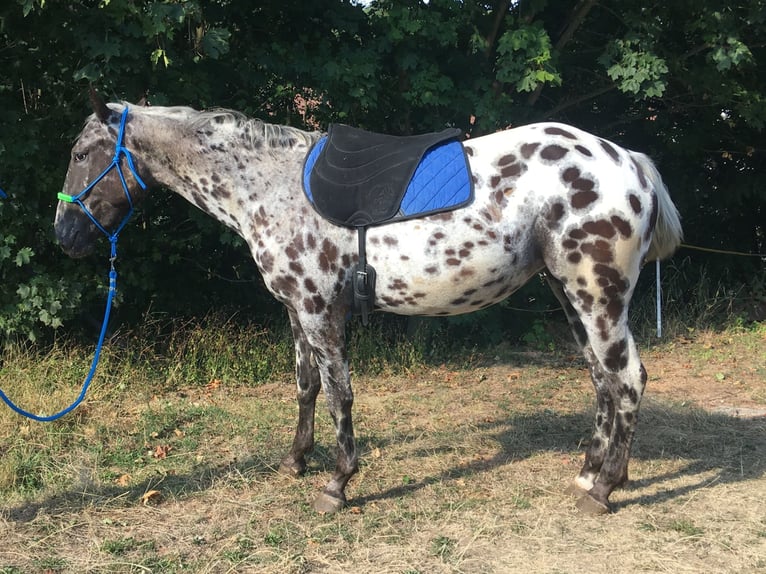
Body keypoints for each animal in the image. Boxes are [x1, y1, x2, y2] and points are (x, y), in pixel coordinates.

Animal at [54, 91, 682, 515]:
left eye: (83, 153)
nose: (64, 235)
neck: (269, 185)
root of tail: (628, 160)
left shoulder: (320, 313)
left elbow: (340, 395)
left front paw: (337, 484)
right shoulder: (296, 311)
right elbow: (307, 387)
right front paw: (296, 460)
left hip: (597, 295)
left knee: (626, 378)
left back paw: (604, 489)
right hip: (569, 294)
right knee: (602, 378)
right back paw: (588, 472)